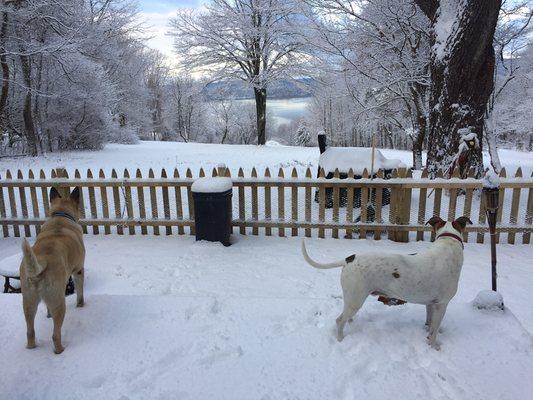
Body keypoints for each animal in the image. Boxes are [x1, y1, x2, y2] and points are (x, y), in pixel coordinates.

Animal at [19, 187, 84, 354]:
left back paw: (31, 347)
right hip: (58, 300)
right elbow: (80, 292)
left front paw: (48, 315)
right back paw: (60, 350)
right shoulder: (79, 269)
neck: (60, 215)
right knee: (55, 334)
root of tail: (40, 263)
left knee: (30, 331)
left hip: (28, 300)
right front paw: (81, 306)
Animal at [302, 216, 472, 350]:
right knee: (339, 320)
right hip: (356, 299)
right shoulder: (442, 304)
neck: (448, 243)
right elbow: (434, 330)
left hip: (352, 299)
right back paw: (340, 339)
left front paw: (427, 333)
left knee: (345, 316)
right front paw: (434, 346)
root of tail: (349, 259)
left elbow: (430, 324)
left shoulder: (431, 303)